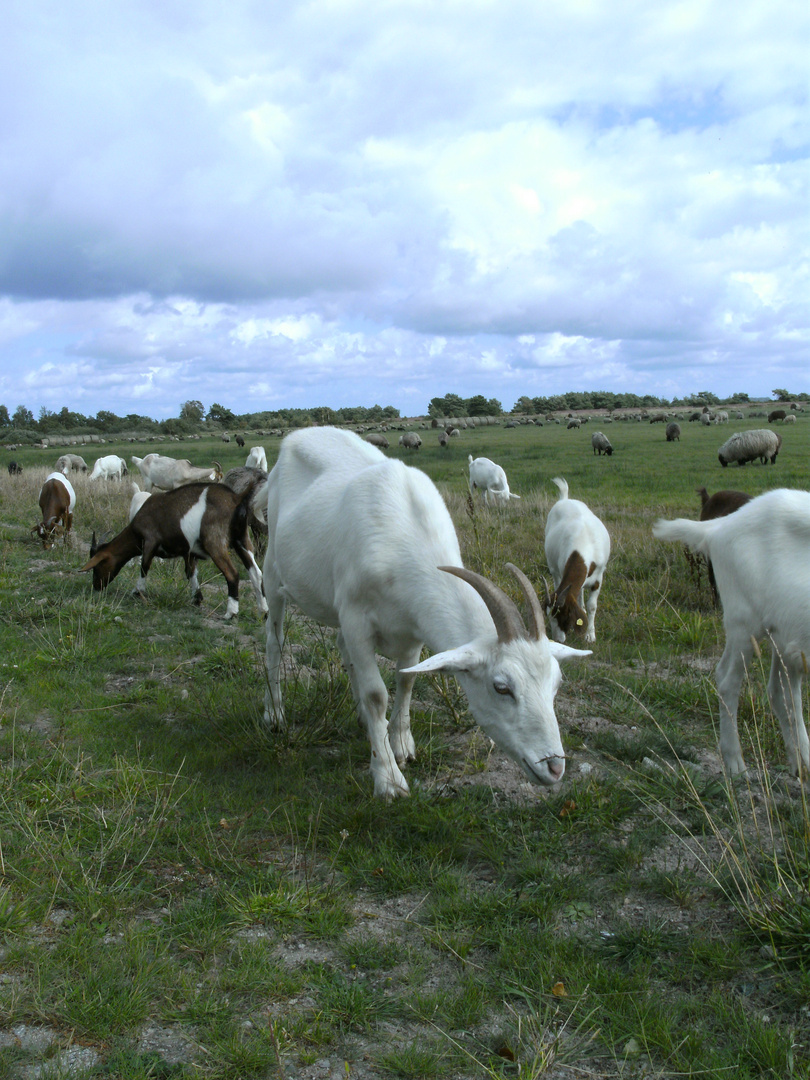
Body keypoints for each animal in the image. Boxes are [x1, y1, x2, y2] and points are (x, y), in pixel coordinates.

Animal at [79, 486, 270, 622]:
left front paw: (137, 591)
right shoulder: (189, 551)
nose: (96, 586)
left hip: (215, 542)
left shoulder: (150, 540)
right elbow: (190, 572)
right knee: (256, 573)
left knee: (232, 573)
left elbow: (144, 566)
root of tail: (236, 499)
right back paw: (263, 611)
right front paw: (197, 598)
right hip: (242, 540)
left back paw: (231, 613)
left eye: (97, 565)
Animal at [253, 425, 591, 799]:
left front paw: (400, 745)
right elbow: (376, 694)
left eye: (556, 682)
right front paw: (388, 779)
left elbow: (407, 678)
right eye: (501, 687)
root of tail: (295, 438)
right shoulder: (356, 619)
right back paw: (275, 714)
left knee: (342, 650)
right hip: (274, 570)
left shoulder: (412, 626)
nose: (554, 767)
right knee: (274, 642)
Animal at [542, 479, 613, 643]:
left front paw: (590, 635)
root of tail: (565, 499)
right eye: (549, 617)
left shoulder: (598, 577)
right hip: (554, 568)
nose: (558, 639)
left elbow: (592, 605)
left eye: (565, 616)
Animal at [652, 490, 810, 777]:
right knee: (728, 680)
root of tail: (721, 526)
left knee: (782, 692)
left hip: (786, 633)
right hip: (744, 621)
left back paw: (801, 764)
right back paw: (736, 761)